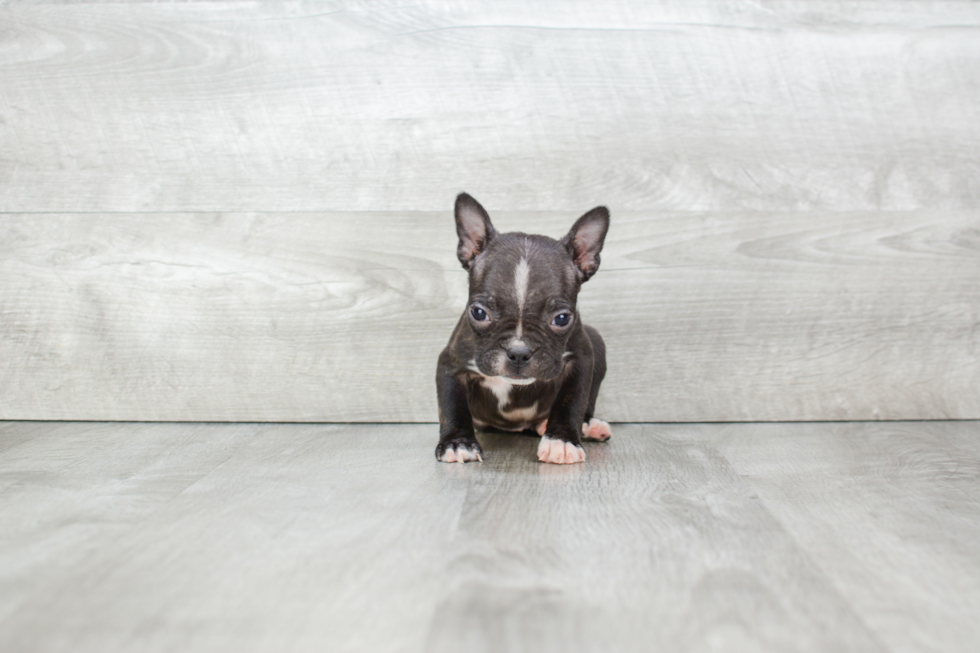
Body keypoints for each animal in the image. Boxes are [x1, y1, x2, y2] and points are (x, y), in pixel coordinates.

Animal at [436, 194, 612, 464]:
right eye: (479, 313)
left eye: (562, 319)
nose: (518, 352)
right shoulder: (450, 364)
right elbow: (452, 405)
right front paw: (457, 442)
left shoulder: (582, 358)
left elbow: (572, 401)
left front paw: (561, 440)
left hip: (596, 340)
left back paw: (584, 426)